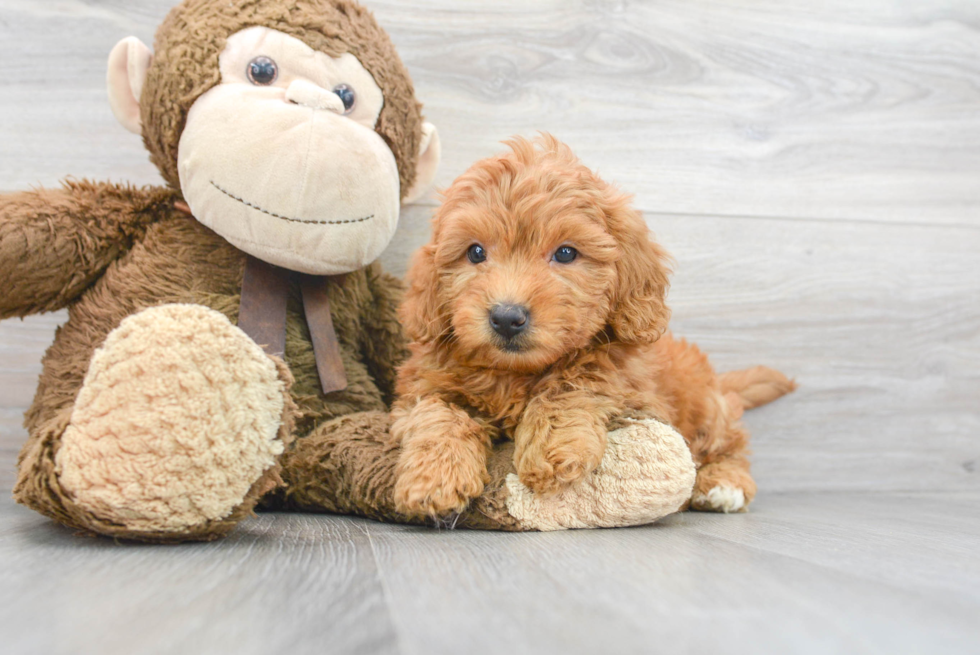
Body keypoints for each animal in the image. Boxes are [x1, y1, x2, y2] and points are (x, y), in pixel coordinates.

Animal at [390, 136, 796, 520]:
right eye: (475, 252)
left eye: (566, 253)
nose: (507, 317)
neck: (516, 374)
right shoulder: (426, 384)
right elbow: (438, 414)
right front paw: (434, 476)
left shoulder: (632, 388)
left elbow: (575, 382)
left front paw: (550, 449)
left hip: (707, 410)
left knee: (730, 445)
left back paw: (724, 485)